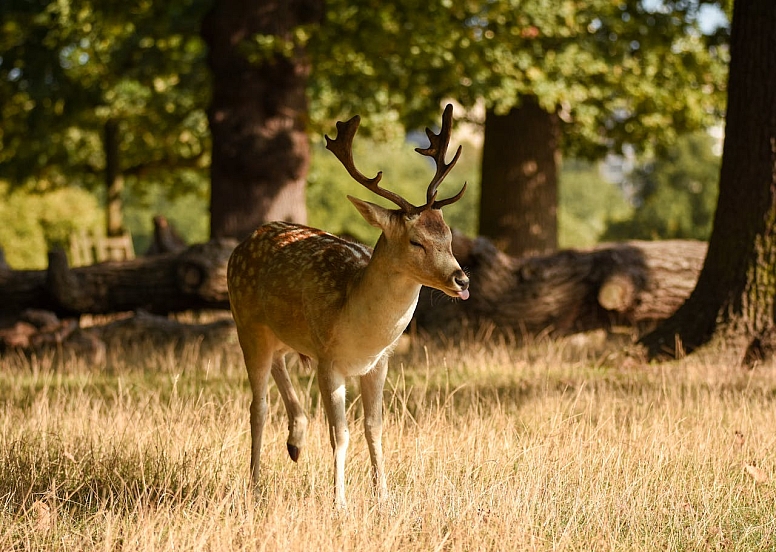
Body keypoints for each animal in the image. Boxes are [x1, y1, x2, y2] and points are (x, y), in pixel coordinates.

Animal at [227, 103, 470, 508]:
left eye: (448, 236)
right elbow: (340, 434)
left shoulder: (380, 362)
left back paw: (295, 442)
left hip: (282, 334)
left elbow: (375, 427)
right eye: (416, 241)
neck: (359, 329)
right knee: (257, 406)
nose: (462, 279)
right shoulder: (328, 360)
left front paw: (383, 496)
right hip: (246, 322)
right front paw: (339, 501)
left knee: (279, 366)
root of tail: (246, 240)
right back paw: (255, 486)